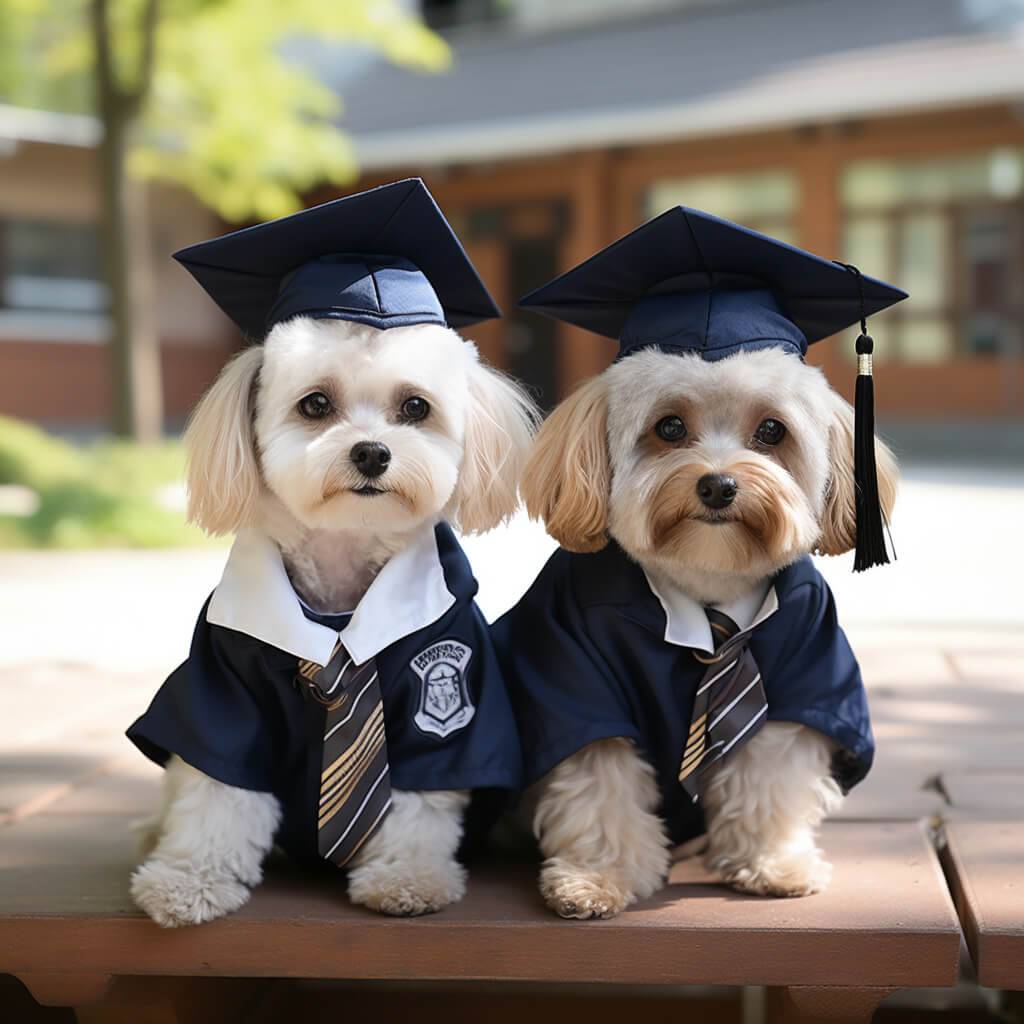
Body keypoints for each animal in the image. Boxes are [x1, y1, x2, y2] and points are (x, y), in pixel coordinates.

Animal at [130, 315, 536, 925]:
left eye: (415, 407)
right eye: (316, 403)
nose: (371, 453)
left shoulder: (446, 690)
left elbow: (417, 800)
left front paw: (405, 876)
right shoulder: (223, 682)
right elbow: (217, 787)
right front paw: (189, 878)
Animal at [516, 348, 892, 917]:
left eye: (771, 431)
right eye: (669, 427)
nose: (719, 486)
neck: (707, 590)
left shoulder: (805, 664)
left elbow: (769, 776)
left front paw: (772, 863)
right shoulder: (575, 670)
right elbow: (601, 787)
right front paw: (599, 878)